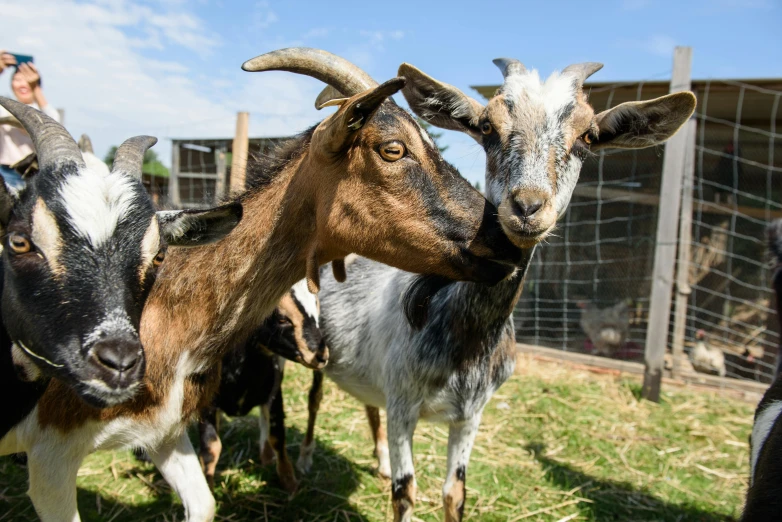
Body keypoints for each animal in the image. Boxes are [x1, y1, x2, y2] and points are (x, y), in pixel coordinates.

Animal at [202, 278, 328, 490]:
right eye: (282, 318)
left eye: (316, 304)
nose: (322, 355)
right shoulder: (206, 405)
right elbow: (210, 448)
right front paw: (208, 487)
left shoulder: (274, 391)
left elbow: (277, 435)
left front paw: (289, 481)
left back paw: (267, 455)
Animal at [310, 58, 696, 520]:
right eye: (487, 127)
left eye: (587, 137)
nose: (527, 206)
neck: (465, 338)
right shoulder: (403, 404)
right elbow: (406, 492)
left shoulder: (470, 415)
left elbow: (454, 492)